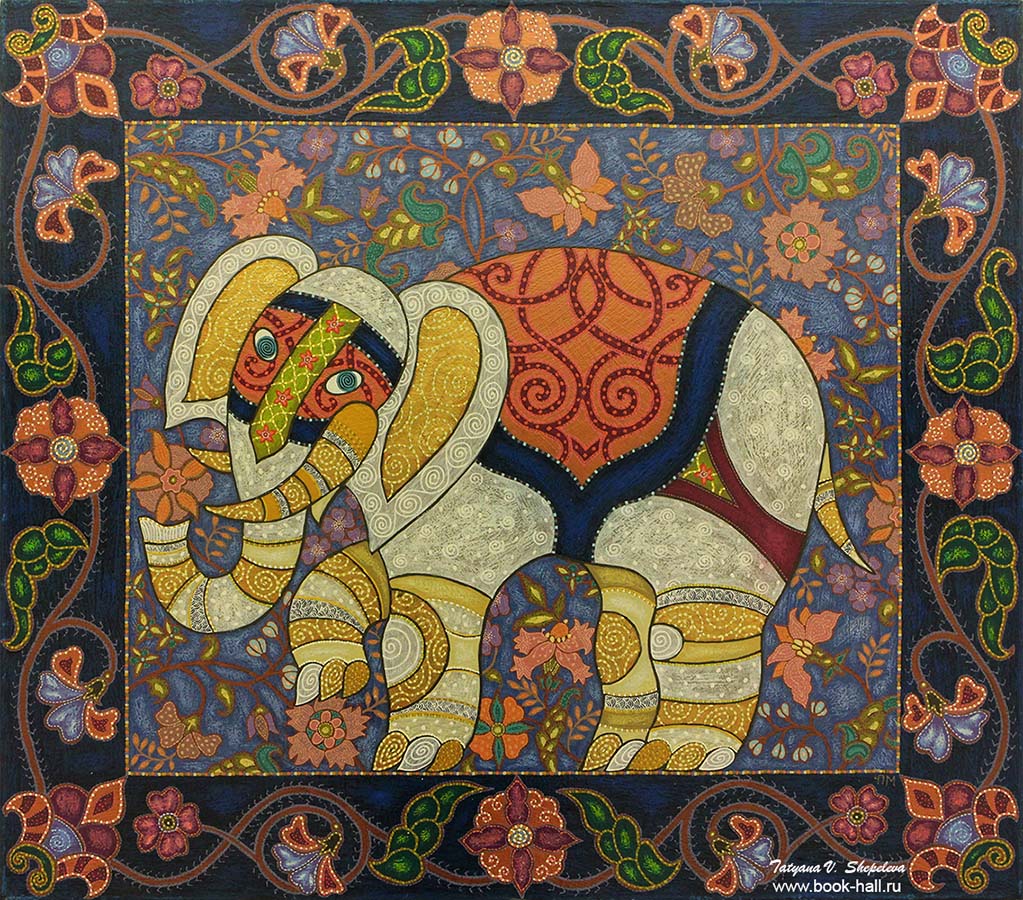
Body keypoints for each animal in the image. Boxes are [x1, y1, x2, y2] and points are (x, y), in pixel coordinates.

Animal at [137, 236, 868, 773]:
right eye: (261, 348)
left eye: (346, 383)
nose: (165, 514)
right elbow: (366, 568)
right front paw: (327, 681)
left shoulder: (462, 479)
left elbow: (425, 613)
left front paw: (411, 757)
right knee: (624, 628)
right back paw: (611, 759)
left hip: (744, 498)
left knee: (693, 630)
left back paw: (670, 759)